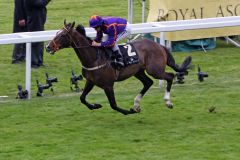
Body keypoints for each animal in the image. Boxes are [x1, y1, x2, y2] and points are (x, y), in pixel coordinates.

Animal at [45, 20, 191, 114]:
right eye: (56, 32)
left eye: (63, 35)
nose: (48, 47)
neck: (94, 58)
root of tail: (159, 46)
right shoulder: (90, 81)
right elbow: (82, 98)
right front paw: (95, 105)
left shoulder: (108, 85)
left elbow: (114, 105)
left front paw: (129, 111)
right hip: (138, 71)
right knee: (148, 82)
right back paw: (137, 104)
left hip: (154, 70)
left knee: (170, 76)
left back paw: (167, 102)